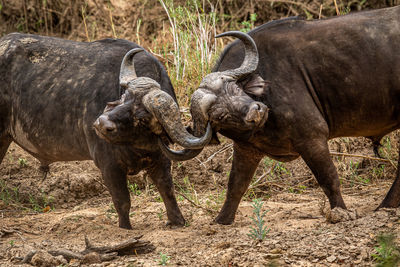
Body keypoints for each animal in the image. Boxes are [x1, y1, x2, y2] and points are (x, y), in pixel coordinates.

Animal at [0, 33, 211, 230]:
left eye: (143, 117)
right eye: (123, 98)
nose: (102, 123)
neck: (135, 145)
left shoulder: (161, 159)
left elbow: (167, 189)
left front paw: (177, 221)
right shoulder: (108, 165)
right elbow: (122, 201)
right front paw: (125, 228)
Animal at [167, 5, 400, 224]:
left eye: (235, 89)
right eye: (219, 116)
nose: (256, 111)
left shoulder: (312, 138)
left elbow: (329, 178)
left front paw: (341, 212)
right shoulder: (247, 149)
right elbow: (236, 186)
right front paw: (221, 220)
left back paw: (385, 207)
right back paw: (386, 206)